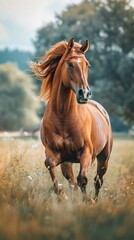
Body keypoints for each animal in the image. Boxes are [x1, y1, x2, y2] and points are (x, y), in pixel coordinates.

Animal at [30, 37, 112, 202]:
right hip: (68, 162)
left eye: (87, 64)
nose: (84, 93)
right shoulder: (54, 153)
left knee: (98, 180)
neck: (63, 118)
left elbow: (83, 179)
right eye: (69, 63)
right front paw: (62, 195)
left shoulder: (86, 153)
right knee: (73, 180)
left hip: (104, 157)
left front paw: (88, 201)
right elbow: (50, 166)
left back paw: (95, 200)